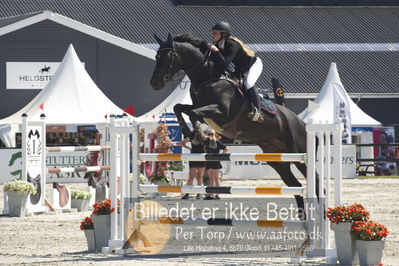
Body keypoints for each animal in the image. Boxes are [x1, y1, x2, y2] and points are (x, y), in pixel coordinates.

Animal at [150, 33, 318, 218]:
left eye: (166, 56)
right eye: (156, 56)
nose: (154, 83)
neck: (208, 78)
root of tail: (302, 123)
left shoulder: (222, 113)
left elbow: (193, 114)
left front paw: (199, 136)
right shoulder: (201, 110)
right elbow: (179, 108)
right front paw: (192, 133)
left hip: (299, 154)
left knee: (315, 180)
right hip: (278, 160)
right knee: (295, 185)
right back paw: (303, 217)